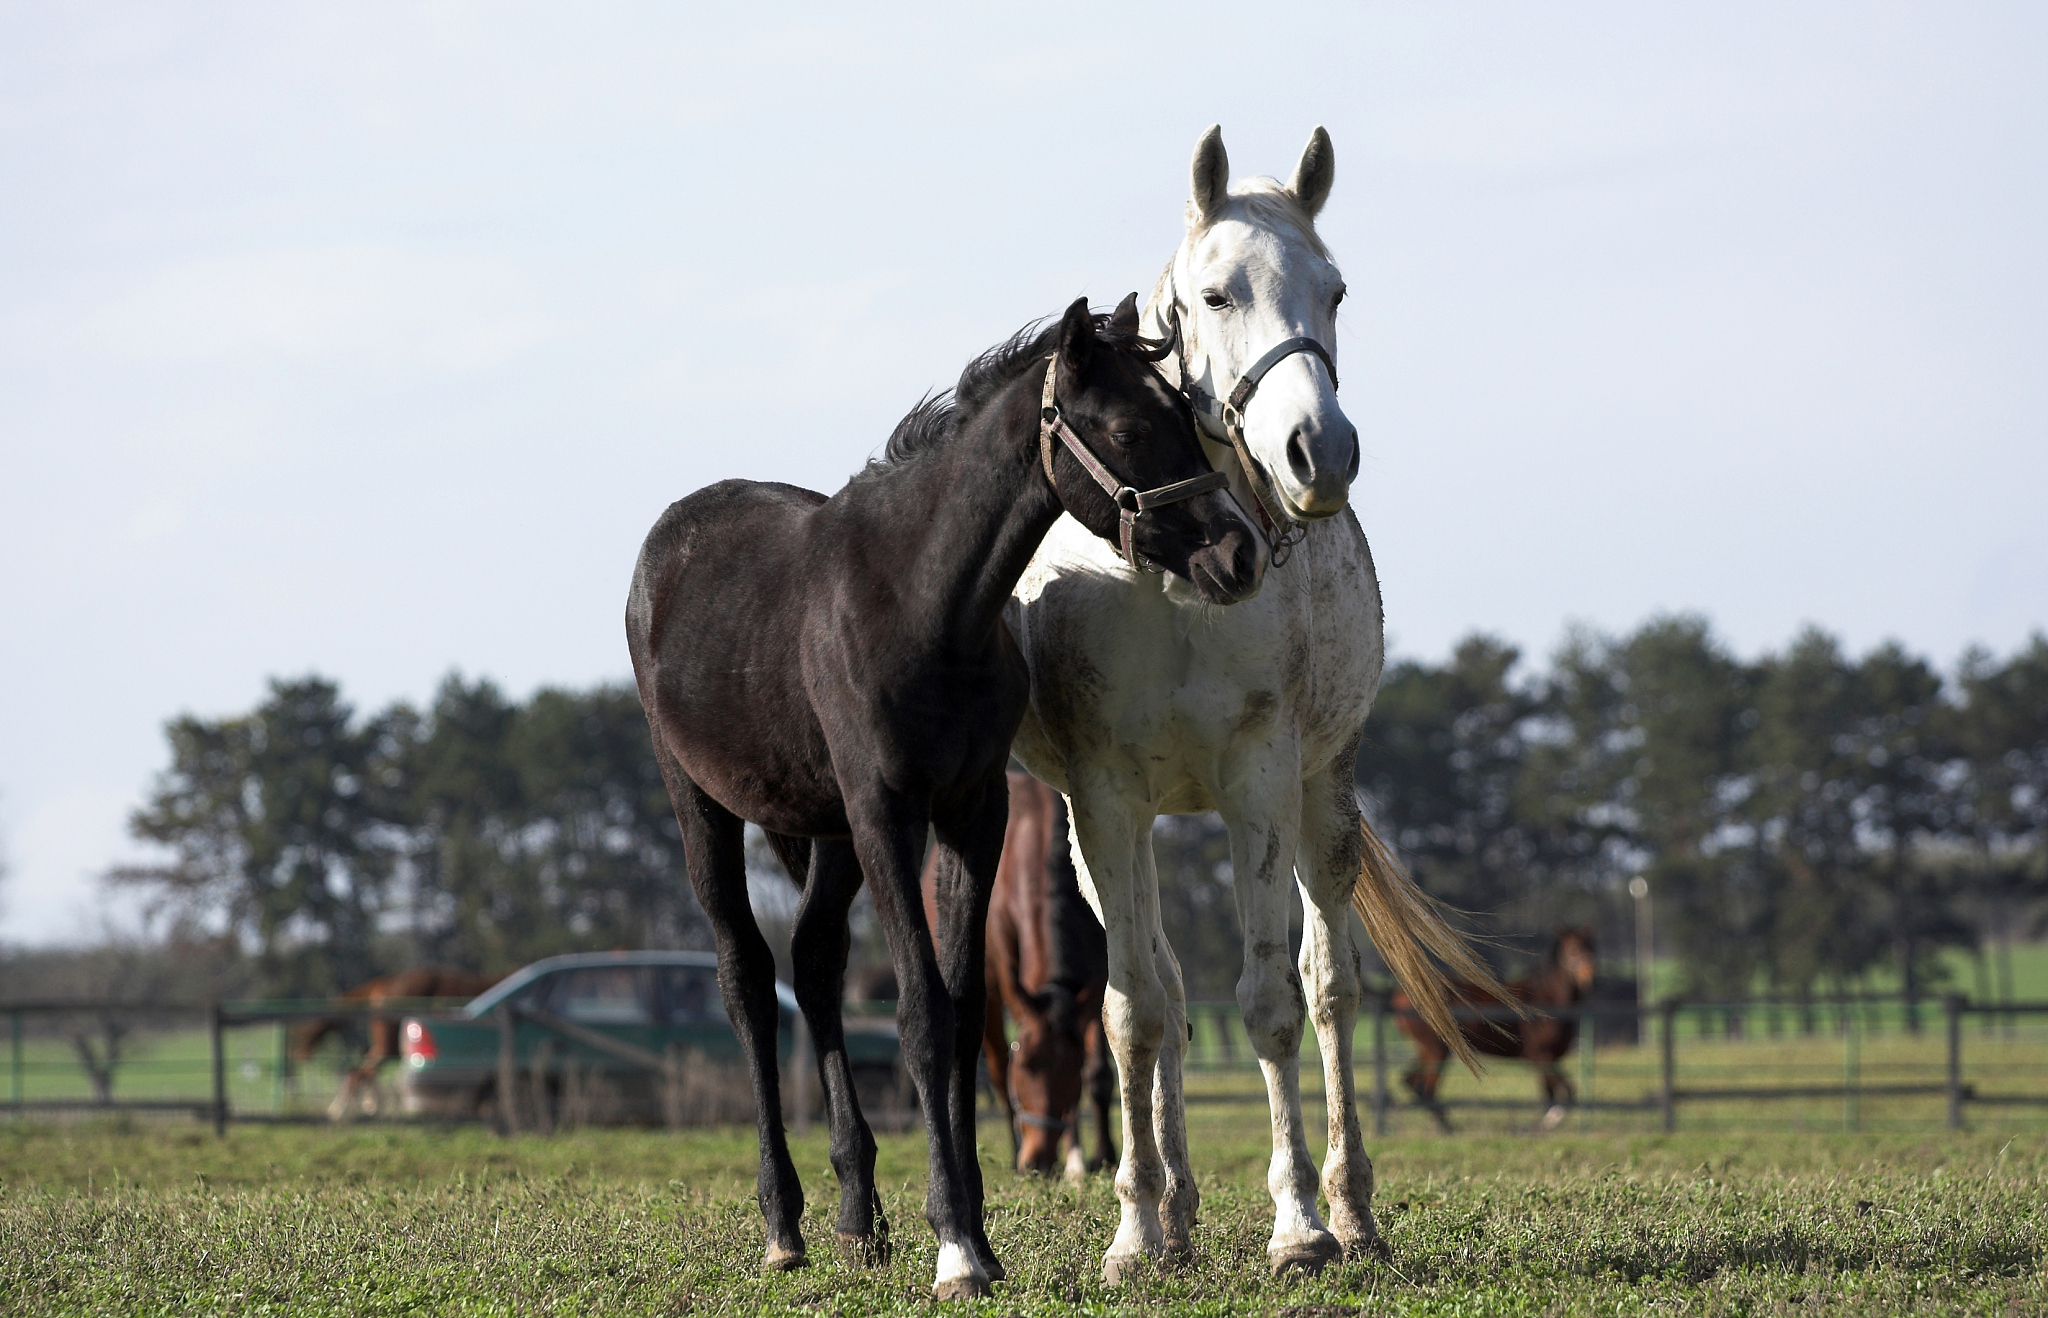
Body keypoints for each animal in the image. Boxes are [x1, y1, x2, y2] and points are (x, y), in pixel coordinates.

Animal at [289, 967, 500, 1119]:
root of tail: (385, 983)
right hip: (388, 1045)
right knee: (360, 1072)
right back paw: (349, 1108)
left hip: (387, 1046)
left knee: (362, 1070)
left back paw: (363, 1105)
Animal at [921, 770, 1115, 1179]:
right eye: (1024, 1066)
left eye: (1071, 1069)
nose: (1038, 1160)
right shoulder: (997, 985)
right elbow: (999, 1071)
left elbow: (1099, 1074)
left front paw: (1103, 1155)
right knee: (994, 1068)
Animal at [1003, 126, 1516, 1283]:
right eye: (1215, 293)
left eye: (1335, 289)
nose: (1320, 453)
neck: (1169, 574)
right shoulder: (1103, 801)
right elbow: (1135, 1012)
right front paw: (1136, 1229)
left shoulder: (1259, 781)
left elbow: (1273, 1002)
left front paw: (1298, 1225)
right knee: (1165, 988)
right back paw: (1177, 1210)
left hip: (1322, 797)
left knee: (1331, 989)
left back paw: (1351, 1206)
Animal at [1394, 926, 1600, 1132]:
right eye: (1573, 950)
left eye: (1592, 947)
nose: (1589, 977)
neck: (1547, 999)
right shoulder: (1540, 1055)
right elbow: (1566, 1089)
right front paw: (1550, 1121)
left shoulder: (1551, 1058)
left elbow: (1550, 1092)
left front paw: (1543, 1124)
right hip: (1437, 1050)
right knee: (1426, 1087)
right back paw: (1444, 1126)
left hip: (1428, 1048)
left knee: (1411, 1081)